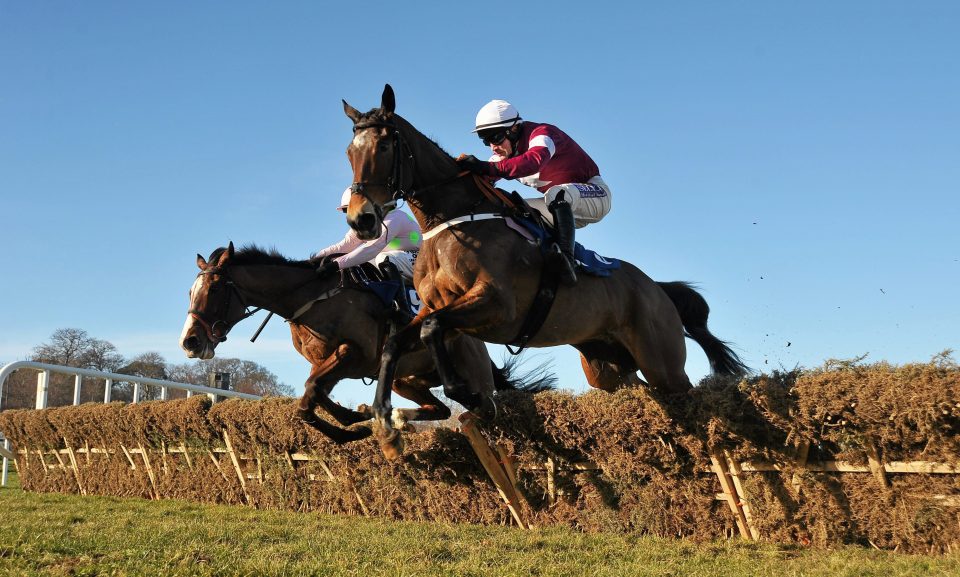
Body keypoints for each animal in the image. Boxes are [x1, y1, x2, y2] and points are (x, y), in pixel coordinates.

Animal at [344, 85, 752, 454]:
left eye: (384, 146)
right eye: (350, 151)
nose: (360, 220)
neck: (451, 222)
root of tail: (655, 287)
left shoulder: (496, 305)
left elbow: (432, 330)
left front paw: (468, 395)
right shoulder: (438, 308)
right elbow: (396, 342)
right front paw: (385, 422)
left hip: (662, 363)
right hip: (608, 367)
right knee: (636, 393)